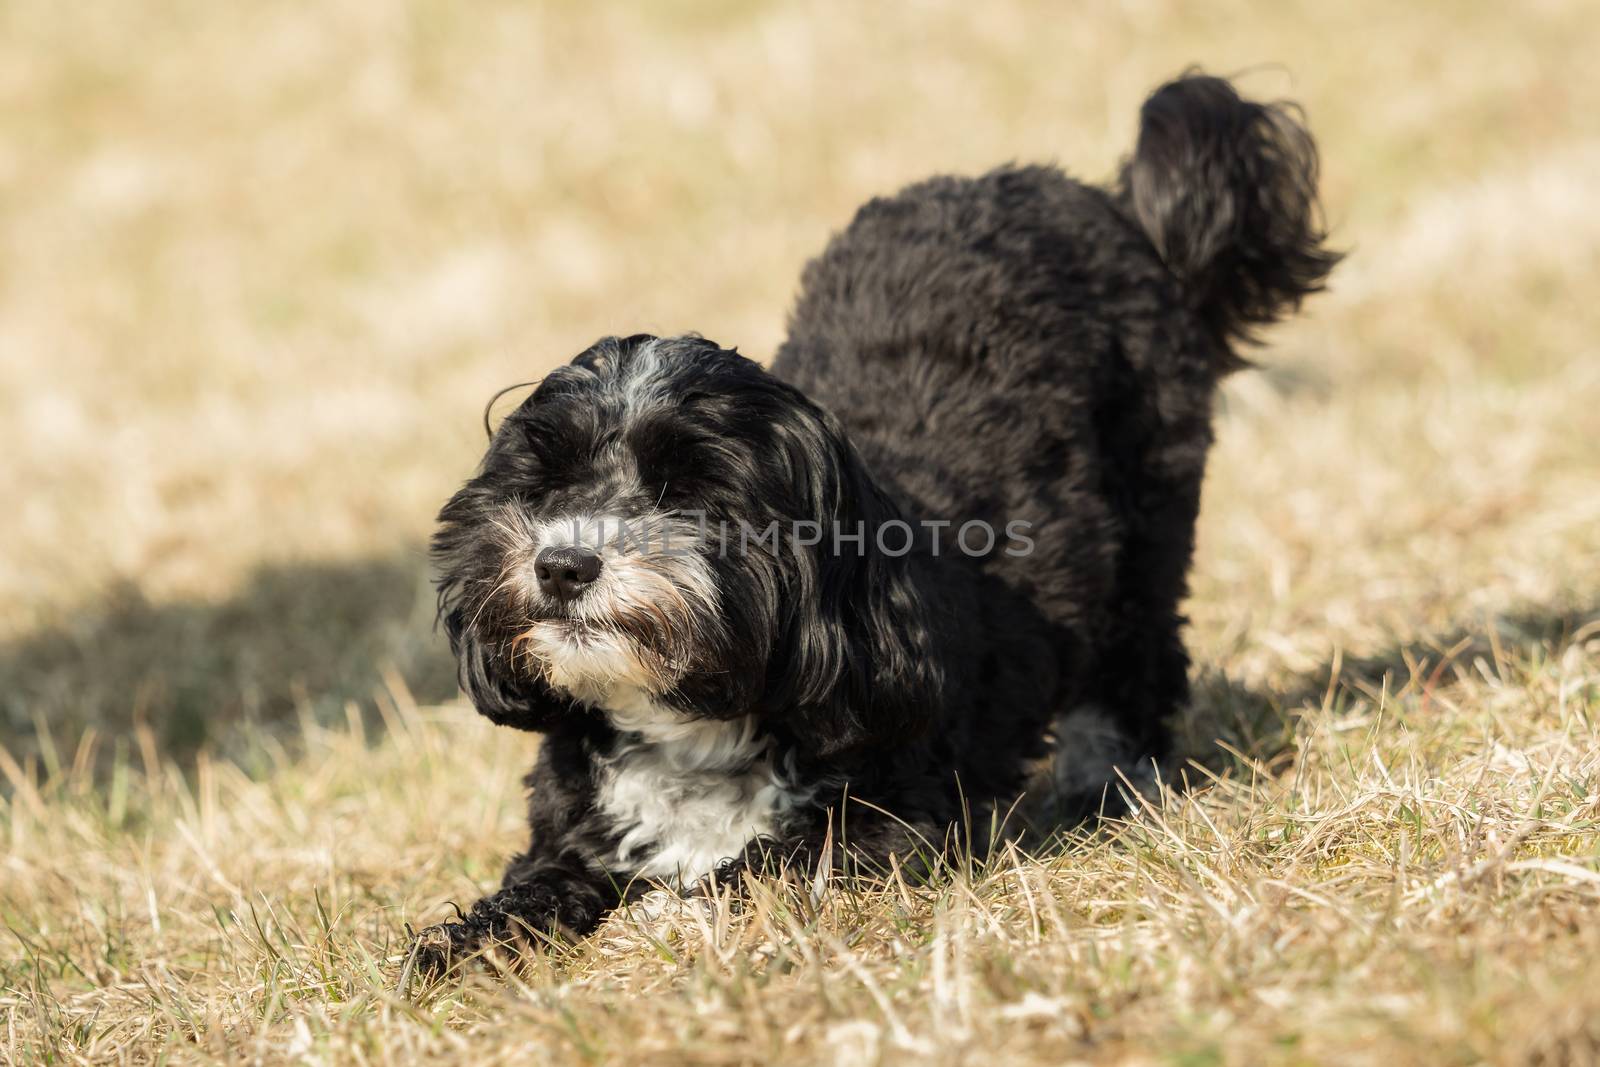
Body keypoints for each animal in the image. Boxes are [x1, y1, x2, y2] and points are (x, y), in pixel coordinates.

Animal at [416, 70, 1337, 966]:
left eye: (691, 491)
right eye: (549, 482)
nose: (562, 564)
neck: (696, 724)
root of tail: (1096, 201)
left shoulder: (891, 819)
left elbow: (761, 865)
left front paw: (664, 917)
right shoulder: (577, 828)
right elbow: (539, 884)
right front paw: (469, 940)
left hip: (1149, 514)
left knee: (1137, 663)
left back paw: (1101, 783)